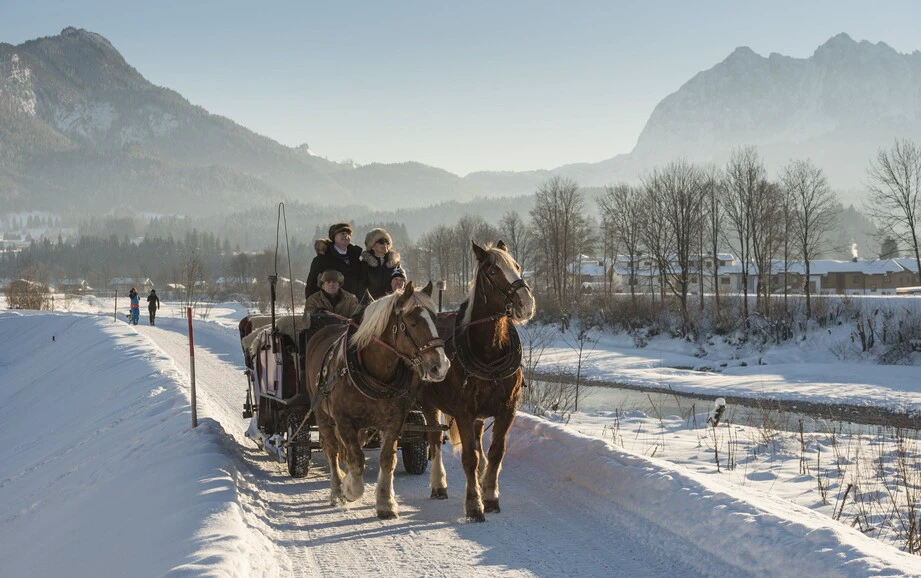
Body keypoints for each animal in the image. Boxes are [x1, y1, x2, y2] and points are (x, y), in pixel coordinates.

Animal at [306, 280, 450, 516]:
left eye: (435, 319)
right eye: (412, 323)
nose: (441, 366)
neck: (375, 371)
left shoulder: (394, 420)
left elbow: (386, 458)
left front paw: (385, 502)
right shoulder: (343, 420)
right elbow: (356, 459)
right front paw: (350, 489)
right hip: (321, 411)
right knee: (332, 449)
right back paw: (336, 490)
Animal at [420, 241, 536, 520]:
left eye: (517, 266)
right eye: (493, 271)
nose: (526, 304)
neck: (490, 354)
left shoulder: (507, 410)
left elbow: (495, 452)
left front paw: (490, 495)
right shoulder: (463, 412)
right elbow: (469, 457)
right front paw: (474, 504)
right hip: (429, 403)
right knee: (434, 440)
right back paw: (438, 484)